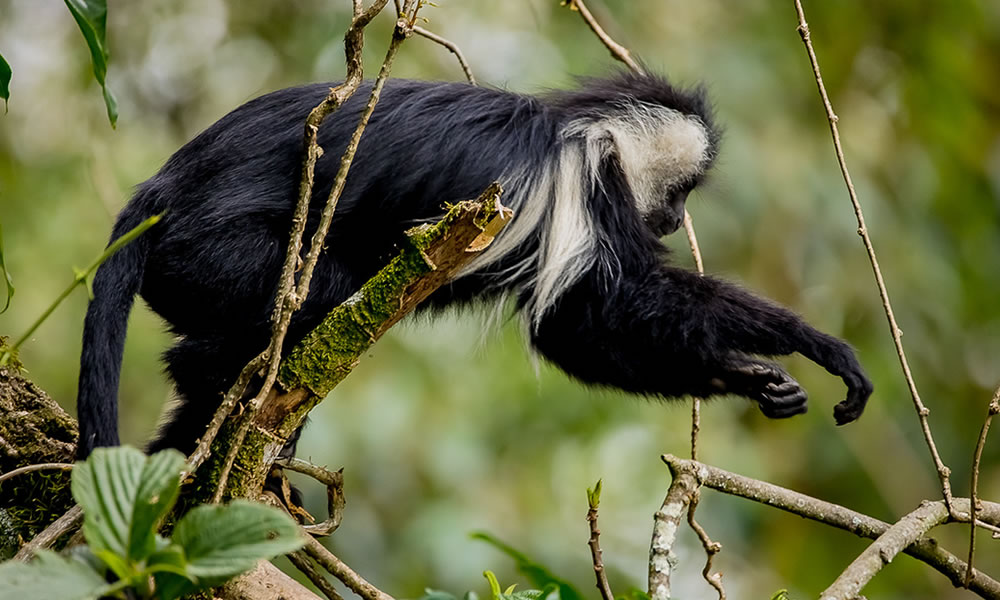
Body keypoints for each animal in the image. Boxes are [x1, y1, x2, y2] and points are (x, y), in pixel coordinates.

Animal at [76, 74, 876, 460]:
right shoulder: (580, 187)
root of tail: (160, 192)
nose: (676, 219)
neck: (584, 132)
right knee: (309, 292)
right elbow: (607, 310)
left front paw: (751, 378)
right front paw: (815, 343)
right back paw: (214, 388)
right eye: (680, 191)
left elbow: (583, 331)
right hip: (216, 253)